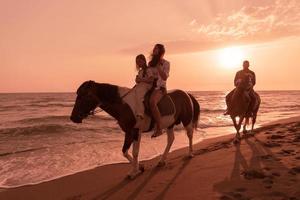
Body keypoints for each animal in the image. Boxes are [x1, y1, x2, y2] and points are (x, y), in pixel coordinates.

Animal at [70, 81, 200, 178]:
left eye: (83, 96)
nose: (73, 117)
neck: (124, 105)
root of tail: (186, 94)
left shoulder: (136, 131)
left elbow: (134, 152)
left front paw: (134, 171)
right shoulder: (128, 132)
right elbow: (125, 151)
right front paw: (139, 167)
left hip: (186, 120)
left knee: (189, 134)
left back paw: (190, 153)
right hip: (170, 124)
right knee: (171, 140)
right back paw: (162, 160)